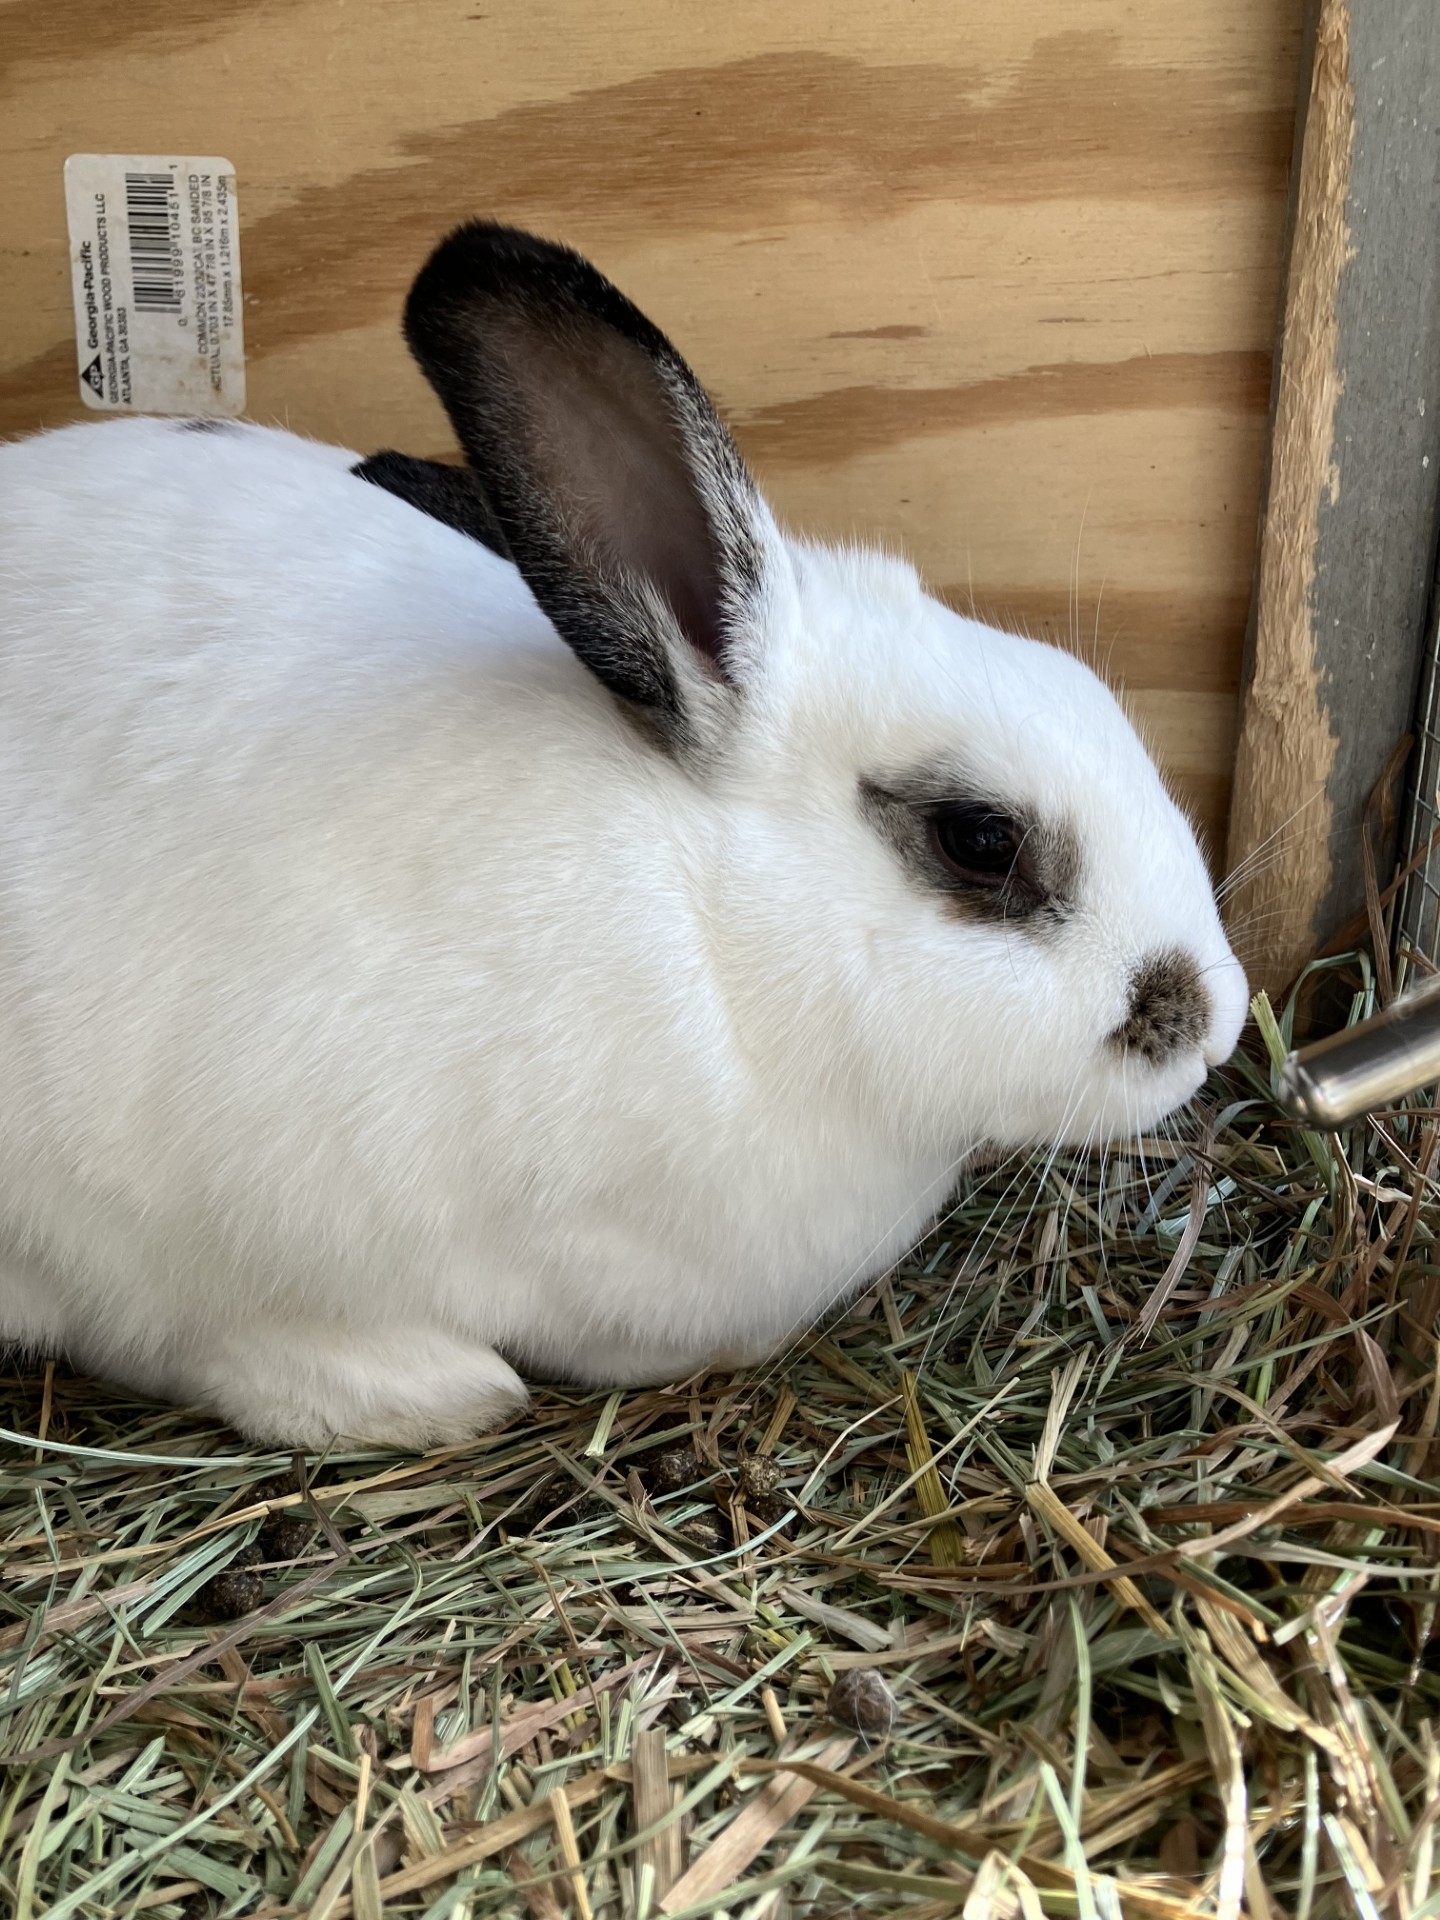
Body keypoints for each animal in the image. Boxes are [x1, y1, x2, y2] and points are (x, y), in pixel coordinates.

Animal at [0, 223, 1248, 1450]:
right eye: (981, 839)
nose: (1217, 1023)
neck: (714, 936)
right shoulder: (180, 1224)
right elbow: (206, 1337)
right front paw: (435, 1393)